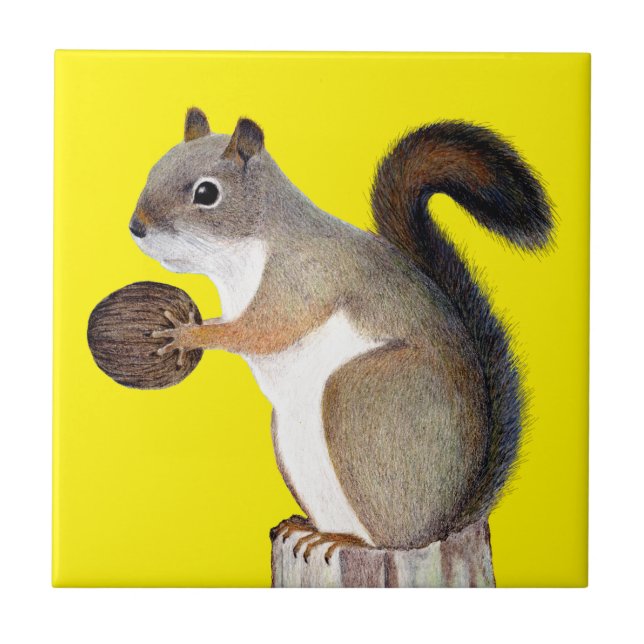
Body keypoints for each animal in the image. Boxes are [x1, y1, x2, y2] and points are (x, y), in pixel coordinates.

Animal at [129, 107, 553, 557]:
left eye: (206, 193)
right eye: (156, 168)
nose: (136, 226)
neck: (249, 246)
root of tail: (447, 522)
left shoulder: (301, 279)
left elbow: (262, 331)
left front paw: (187, 334)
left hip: (360, 399)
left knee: (393, 538)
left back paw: (348, 539)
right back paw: (309, 528)